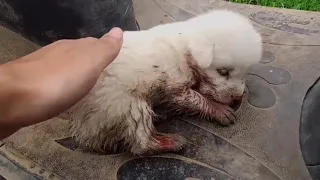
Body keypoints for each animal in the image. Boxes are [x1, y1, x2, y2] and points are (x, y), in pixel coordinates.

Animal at [62, 9, 262, 155]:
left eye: (245, 73)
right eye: (223, 72)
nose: (237, 100)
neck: (185, 48)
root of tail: (81, 126)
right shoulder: (176, 89)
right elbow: (198, 99)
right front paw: (219, 110)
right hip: (127, 106)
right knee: (140, 145)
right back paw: (169, 142)